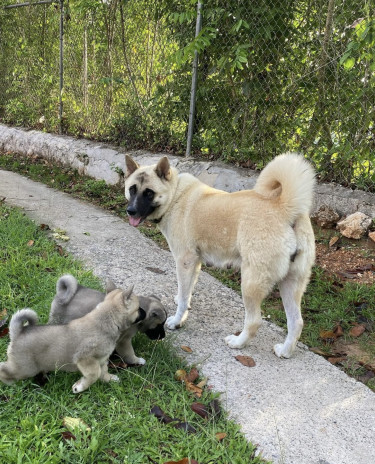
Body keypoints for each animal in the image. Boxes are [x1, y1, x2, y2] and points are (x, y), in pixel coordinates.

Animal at [0, 288, 143, 394]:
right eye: (138, 308)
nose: (144, 312)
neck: (107, 319)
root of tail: (18, 332)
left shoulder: (102, 360)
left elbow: (103, 372)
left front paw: (110, 379)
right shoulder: (85, 359)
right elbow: (94, 374)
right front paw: (79, 387)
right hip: (25, 369)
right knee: (4, 368)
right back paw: (10, 383)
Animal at [125, 152, 316, 358]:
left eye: (149, 193)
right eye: (132, 189)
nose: (130, 211)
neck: (175, 194)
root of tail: (286, 208)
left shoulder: (185, 262)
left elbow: (183, 297)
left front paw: (177, 320)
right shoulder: (195, 262)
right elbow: (187, 289)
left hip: (250, 284)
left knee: (254, 321)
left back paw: (238, 343)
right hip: (291, 283)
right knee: (296, 322)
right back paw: (285, 351)